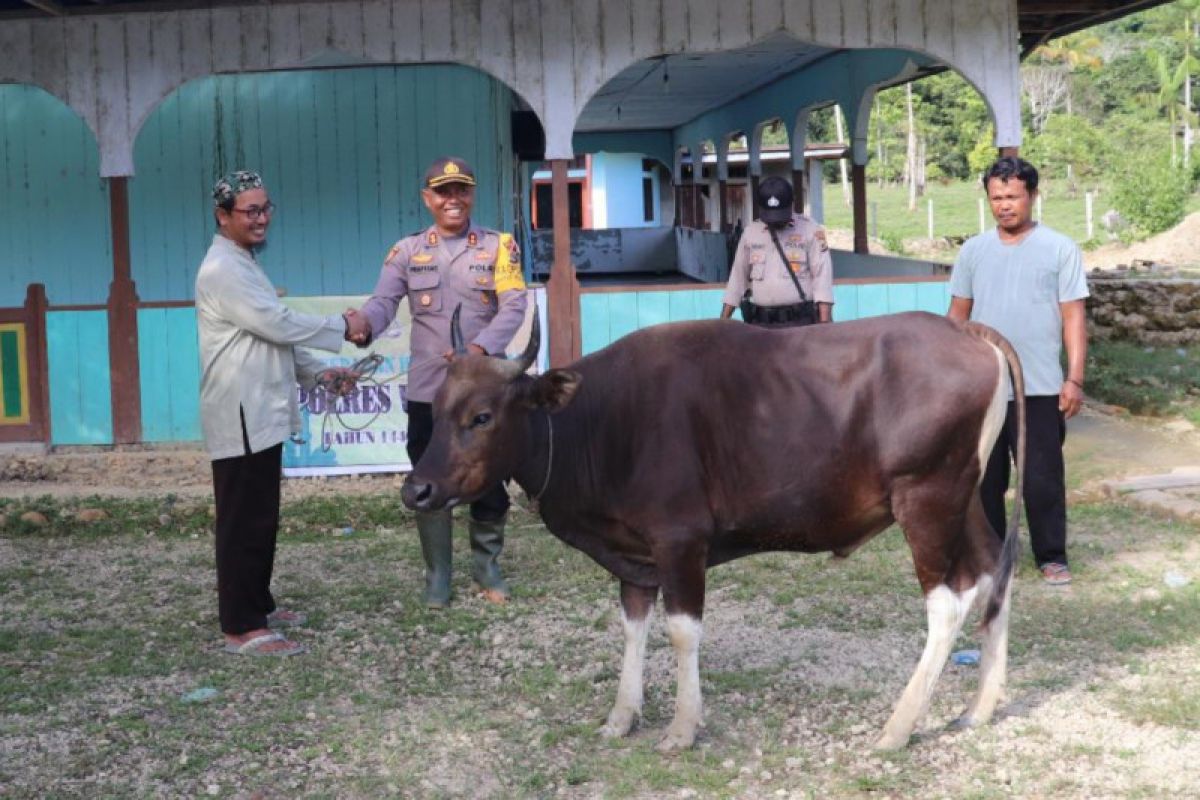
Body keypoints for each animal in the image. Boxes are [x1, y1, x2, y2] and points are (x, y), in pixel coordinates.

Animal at [400, 309, 1022, 753]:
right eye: (437, 407)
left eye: (482, 416)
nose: (417, 490)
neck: (600, 422)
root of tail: (965, 328)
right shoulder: (634, 557)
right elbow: (633, 627)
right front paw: (622, 716)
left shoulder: (680, 542)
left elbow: (682, 632)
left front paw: (682, 726)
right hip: (965, 497)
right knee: (995, 570)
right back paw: (981, 707)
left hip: (926, 497)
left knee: (948, 602)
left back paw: (897, 727)